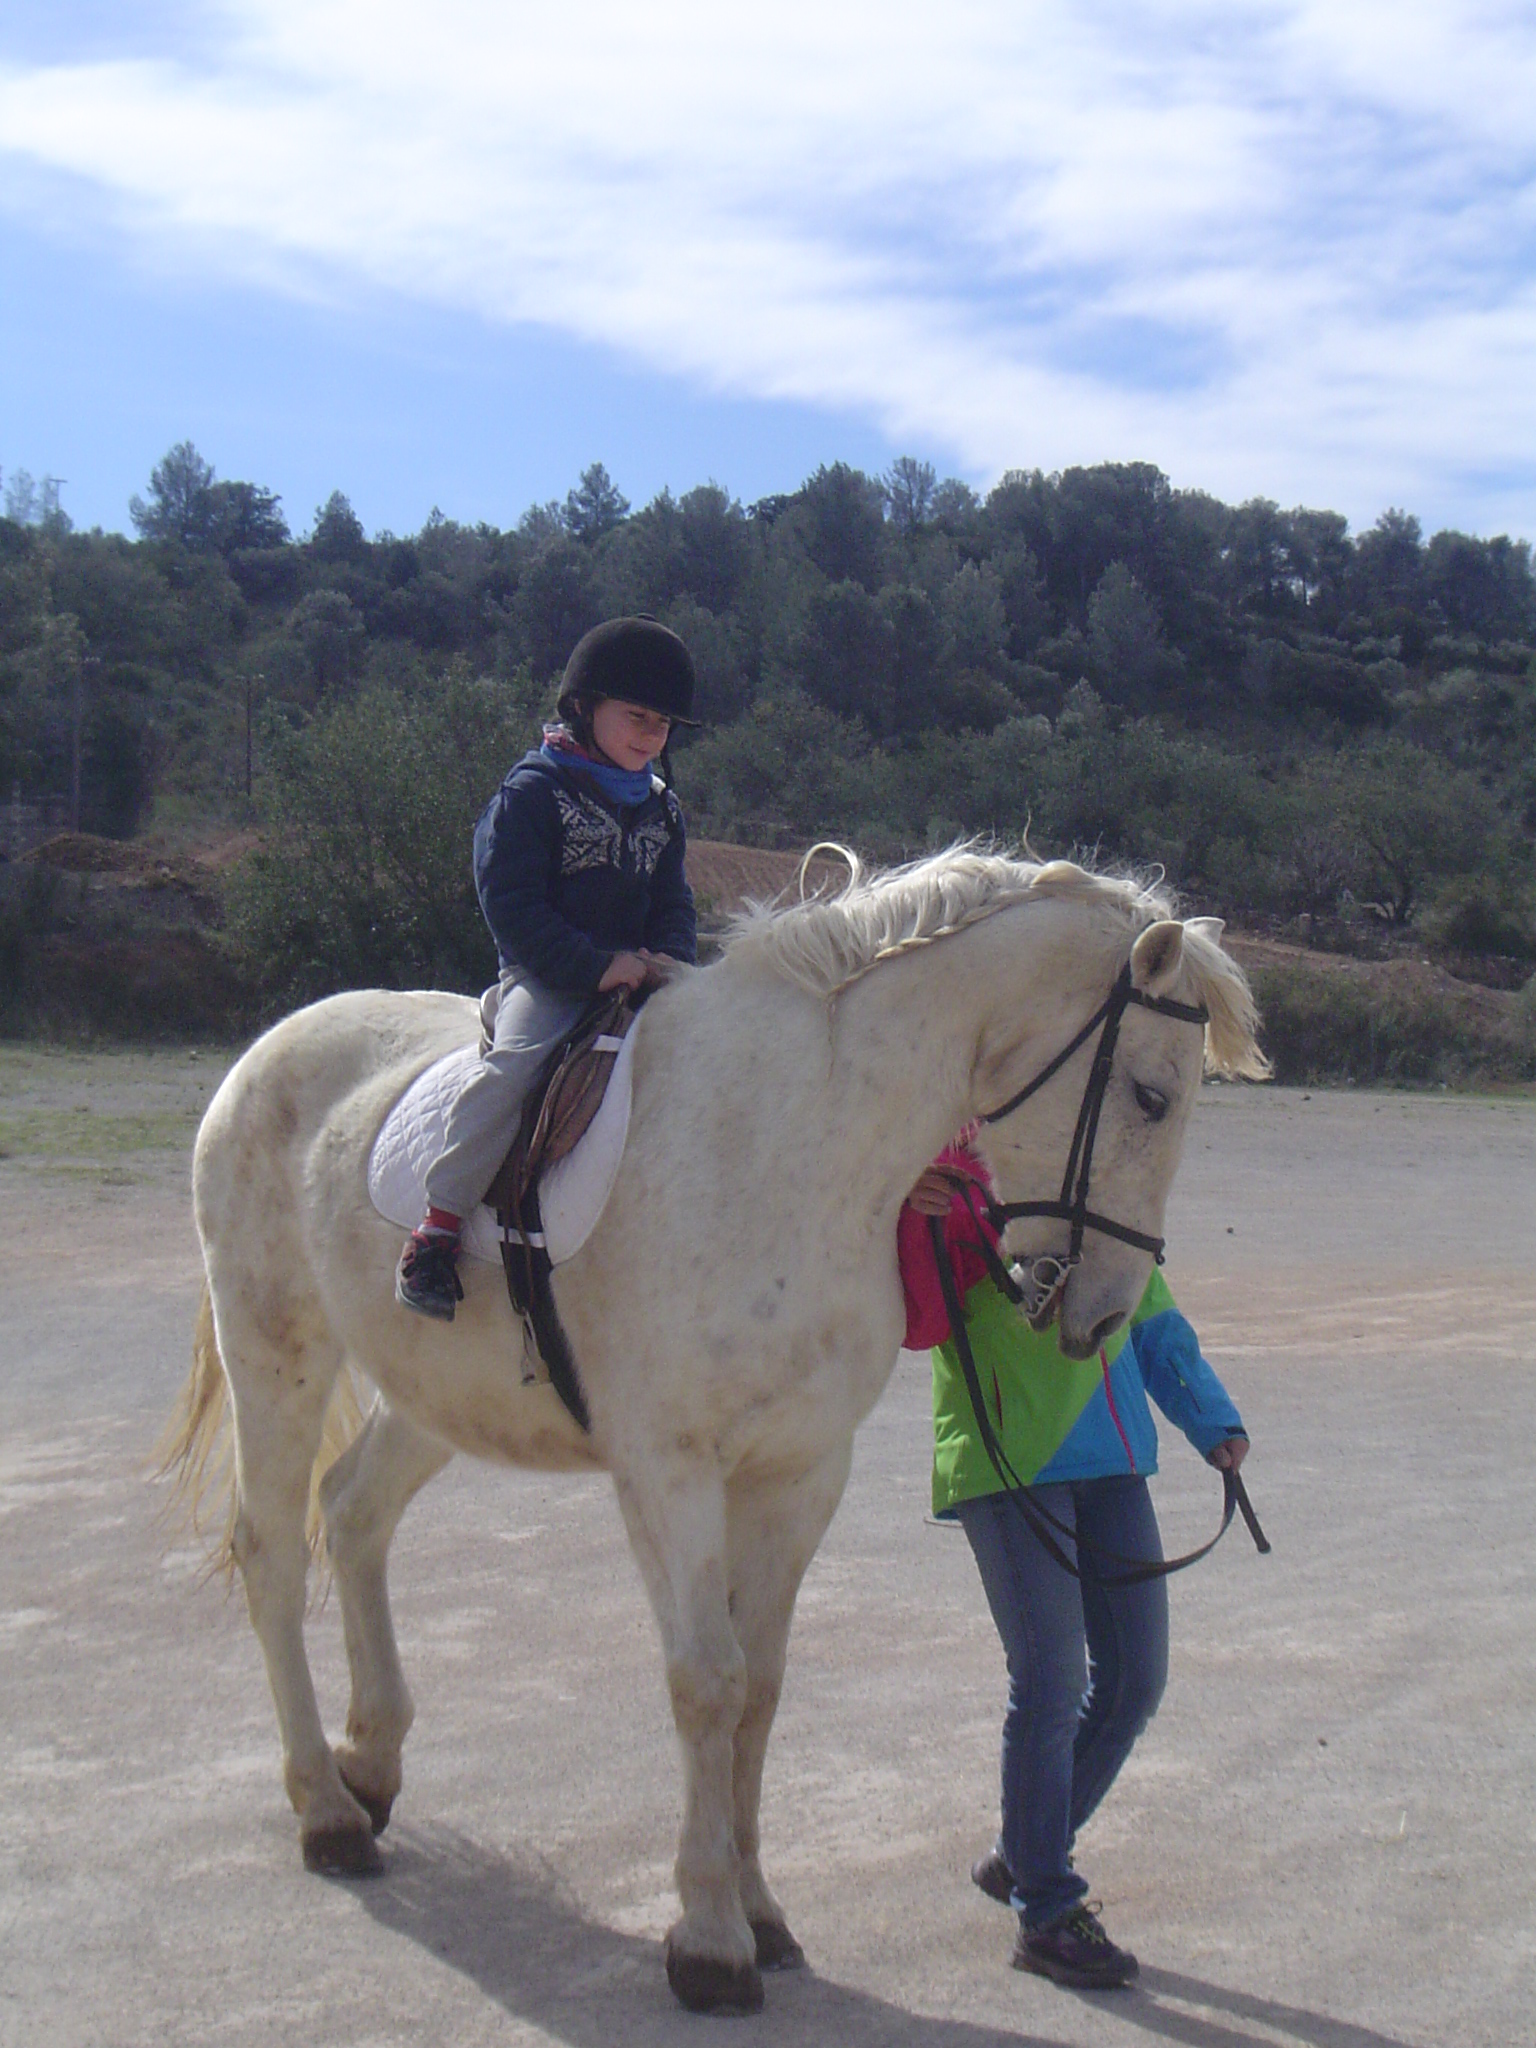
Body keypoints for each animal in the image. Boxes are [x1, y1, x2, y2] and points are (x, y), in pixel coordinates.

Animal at [163, 845, 1265, 2014]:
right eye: (1150, 1094)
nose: (1104, 1311)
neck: (793, 1144)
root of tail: (272, 1047)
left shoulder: (799, 1472)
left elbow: (762, 1687)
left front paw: (761, 1911)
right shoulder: (668, 1470)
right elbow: (708, 1681)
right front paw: (707, 1938)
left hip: (432, 1396)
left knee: (353, 1514)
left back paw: (369, 1765)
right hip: (276, 1354)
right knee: (273, 1552)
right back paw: (326, 1810)